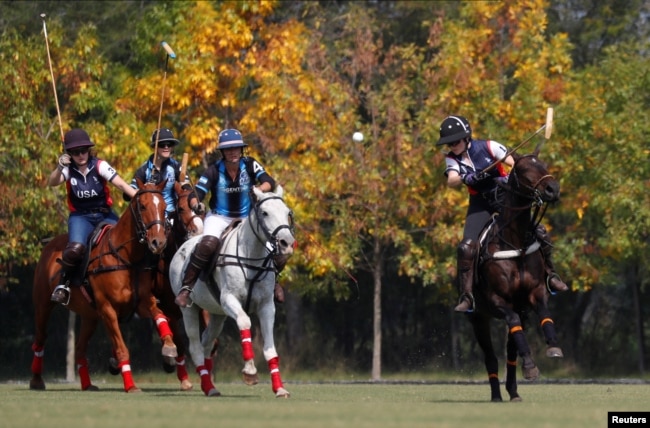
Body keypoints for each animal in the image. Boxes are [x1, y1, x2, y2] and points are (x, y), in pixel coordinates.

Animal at [29, 179, 178, 392]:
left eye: (165, 207)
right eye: (142, 206)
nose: (158, 242)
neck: (126, 257)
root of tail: (50, 245)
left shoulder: (141, 302)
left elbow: (160, 316)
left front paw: (169, 348)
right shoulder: (108, 309)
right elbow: (122, 349)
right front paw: (131, 386)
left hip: (89, 315)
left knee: (79, 348)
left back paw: (87, 384)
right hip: (43, 303)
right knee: (40, 339)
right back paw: (36, 381)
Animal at [170, 186, 296, 396]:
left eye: (287, 212)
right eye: (264, 212)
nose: (286, 243)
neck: (250, 256)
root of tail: (183, 246)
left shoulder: (266, 305)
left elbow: (271, 350)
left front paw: (279, 388)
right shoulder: (229, 299)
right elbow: (244, 321)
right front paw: (250, 372)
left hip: (217, 313)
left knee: (207, 341)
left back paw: (209, 385)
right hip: (189, 309)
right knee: (195, 346)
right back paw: (209, 387)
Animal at [466, 150, 560, 402]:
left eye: (543, 164)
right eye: (524, 170)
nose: (553, 189)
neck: (515, 243)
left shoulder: (534, 295)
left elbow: (545, 315)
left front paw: (553, 346)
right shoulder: (498, 301)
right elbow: (512, 322)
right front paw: (531, 366)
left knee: (511, 350)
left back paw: (513, 390)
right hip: (478, 317)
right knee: (490, 356)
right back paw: (497, 394)